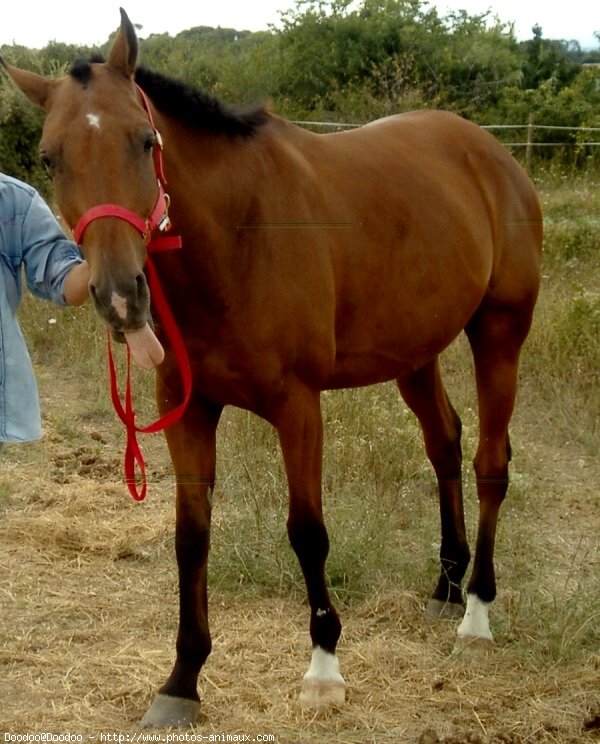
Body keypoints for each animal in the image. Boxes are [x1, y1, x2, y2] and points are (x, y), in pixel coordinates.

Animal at [0, 8, 544, 728]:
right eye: (49, 157)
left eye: (144, 141)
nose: (120, 296)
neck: (240, 235)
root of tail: (491, 153)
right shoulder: (186, 408)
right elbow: (190, 537)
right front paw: (182, 680)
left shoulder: (298, 406)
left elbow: (307, 532)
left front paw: (324, 672)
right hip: (414, 352)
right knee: (445, 442)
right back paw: (447, 585)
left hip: (499, 333)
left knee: (490, 463)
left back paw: (476, 615)